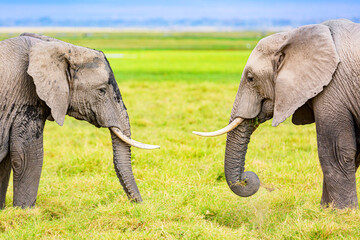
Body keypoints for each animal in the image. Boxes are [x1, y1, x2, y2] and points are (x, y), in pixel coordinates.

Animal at [0, 32, 159, 207]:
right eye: (102, 91)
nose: (141, 204)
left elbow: (6, 162)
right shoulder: (26, 99)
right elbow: (26, 157)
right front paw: (26, 211)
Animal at [194, 19, 360, 209]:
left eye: (250, 78)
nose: (246, 178)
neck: (293, 35)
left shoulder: (334, 88)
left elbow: (335, 152)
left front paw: (340, 211)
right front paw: (326, 209)